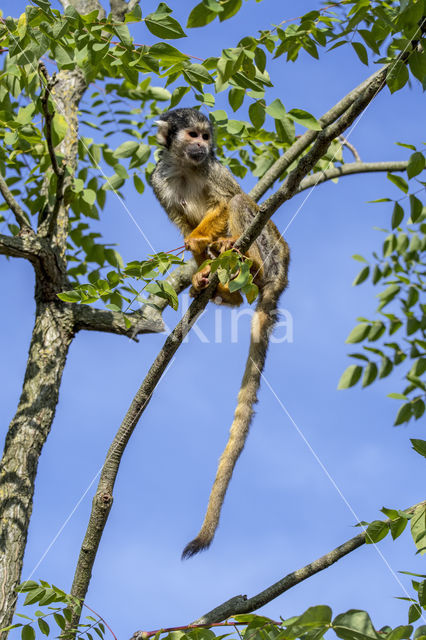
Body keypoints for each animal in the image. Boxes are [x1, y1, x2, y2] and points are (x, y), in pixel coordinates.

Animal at [151, 107, 290, 556]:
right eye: (191, 135)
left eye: (205, 136)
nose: (202, 146)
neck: (187, 166)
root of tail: (281, 279)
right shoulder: (158, 178)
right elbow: (181, 219)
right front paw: (196, 258)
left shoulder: (215, 170)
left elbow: (228, 200)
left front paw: (199, 241)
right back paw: (220, 288)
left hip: (273, 251)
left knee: (245, 203)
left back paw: (237, 257)